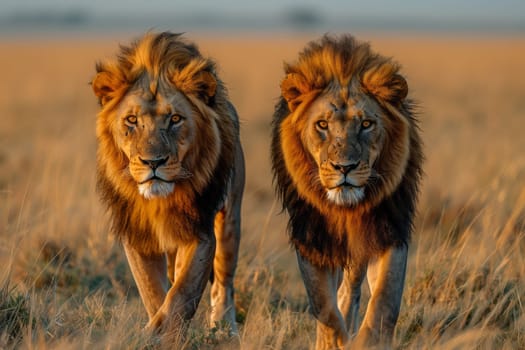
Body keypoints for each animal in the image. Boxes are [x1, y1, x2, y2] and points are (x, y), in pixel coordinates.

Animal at [91, 31, 244, 338]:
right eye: (131, 120)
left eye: (175, 119)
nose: (154, 162)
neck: (161, 200)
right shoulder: (137, 234)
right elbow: (153, 292)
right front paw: (154, 332)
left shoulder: (200, 231)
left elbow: (181, 294)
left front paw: (164, 334)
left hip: (230, 220)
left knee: (224, 281)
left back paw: (224, 328)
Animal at [270, 34, 422, 348]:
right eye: (322, 125)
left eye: (366, 124)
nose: (345, 167)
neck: (345, 208)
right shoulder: (311, 238)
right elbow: (322, 305)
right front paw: (333, 342)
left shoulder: (389, 229)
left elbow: (384, 301)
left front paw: (368, 341)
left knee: (351, 287)